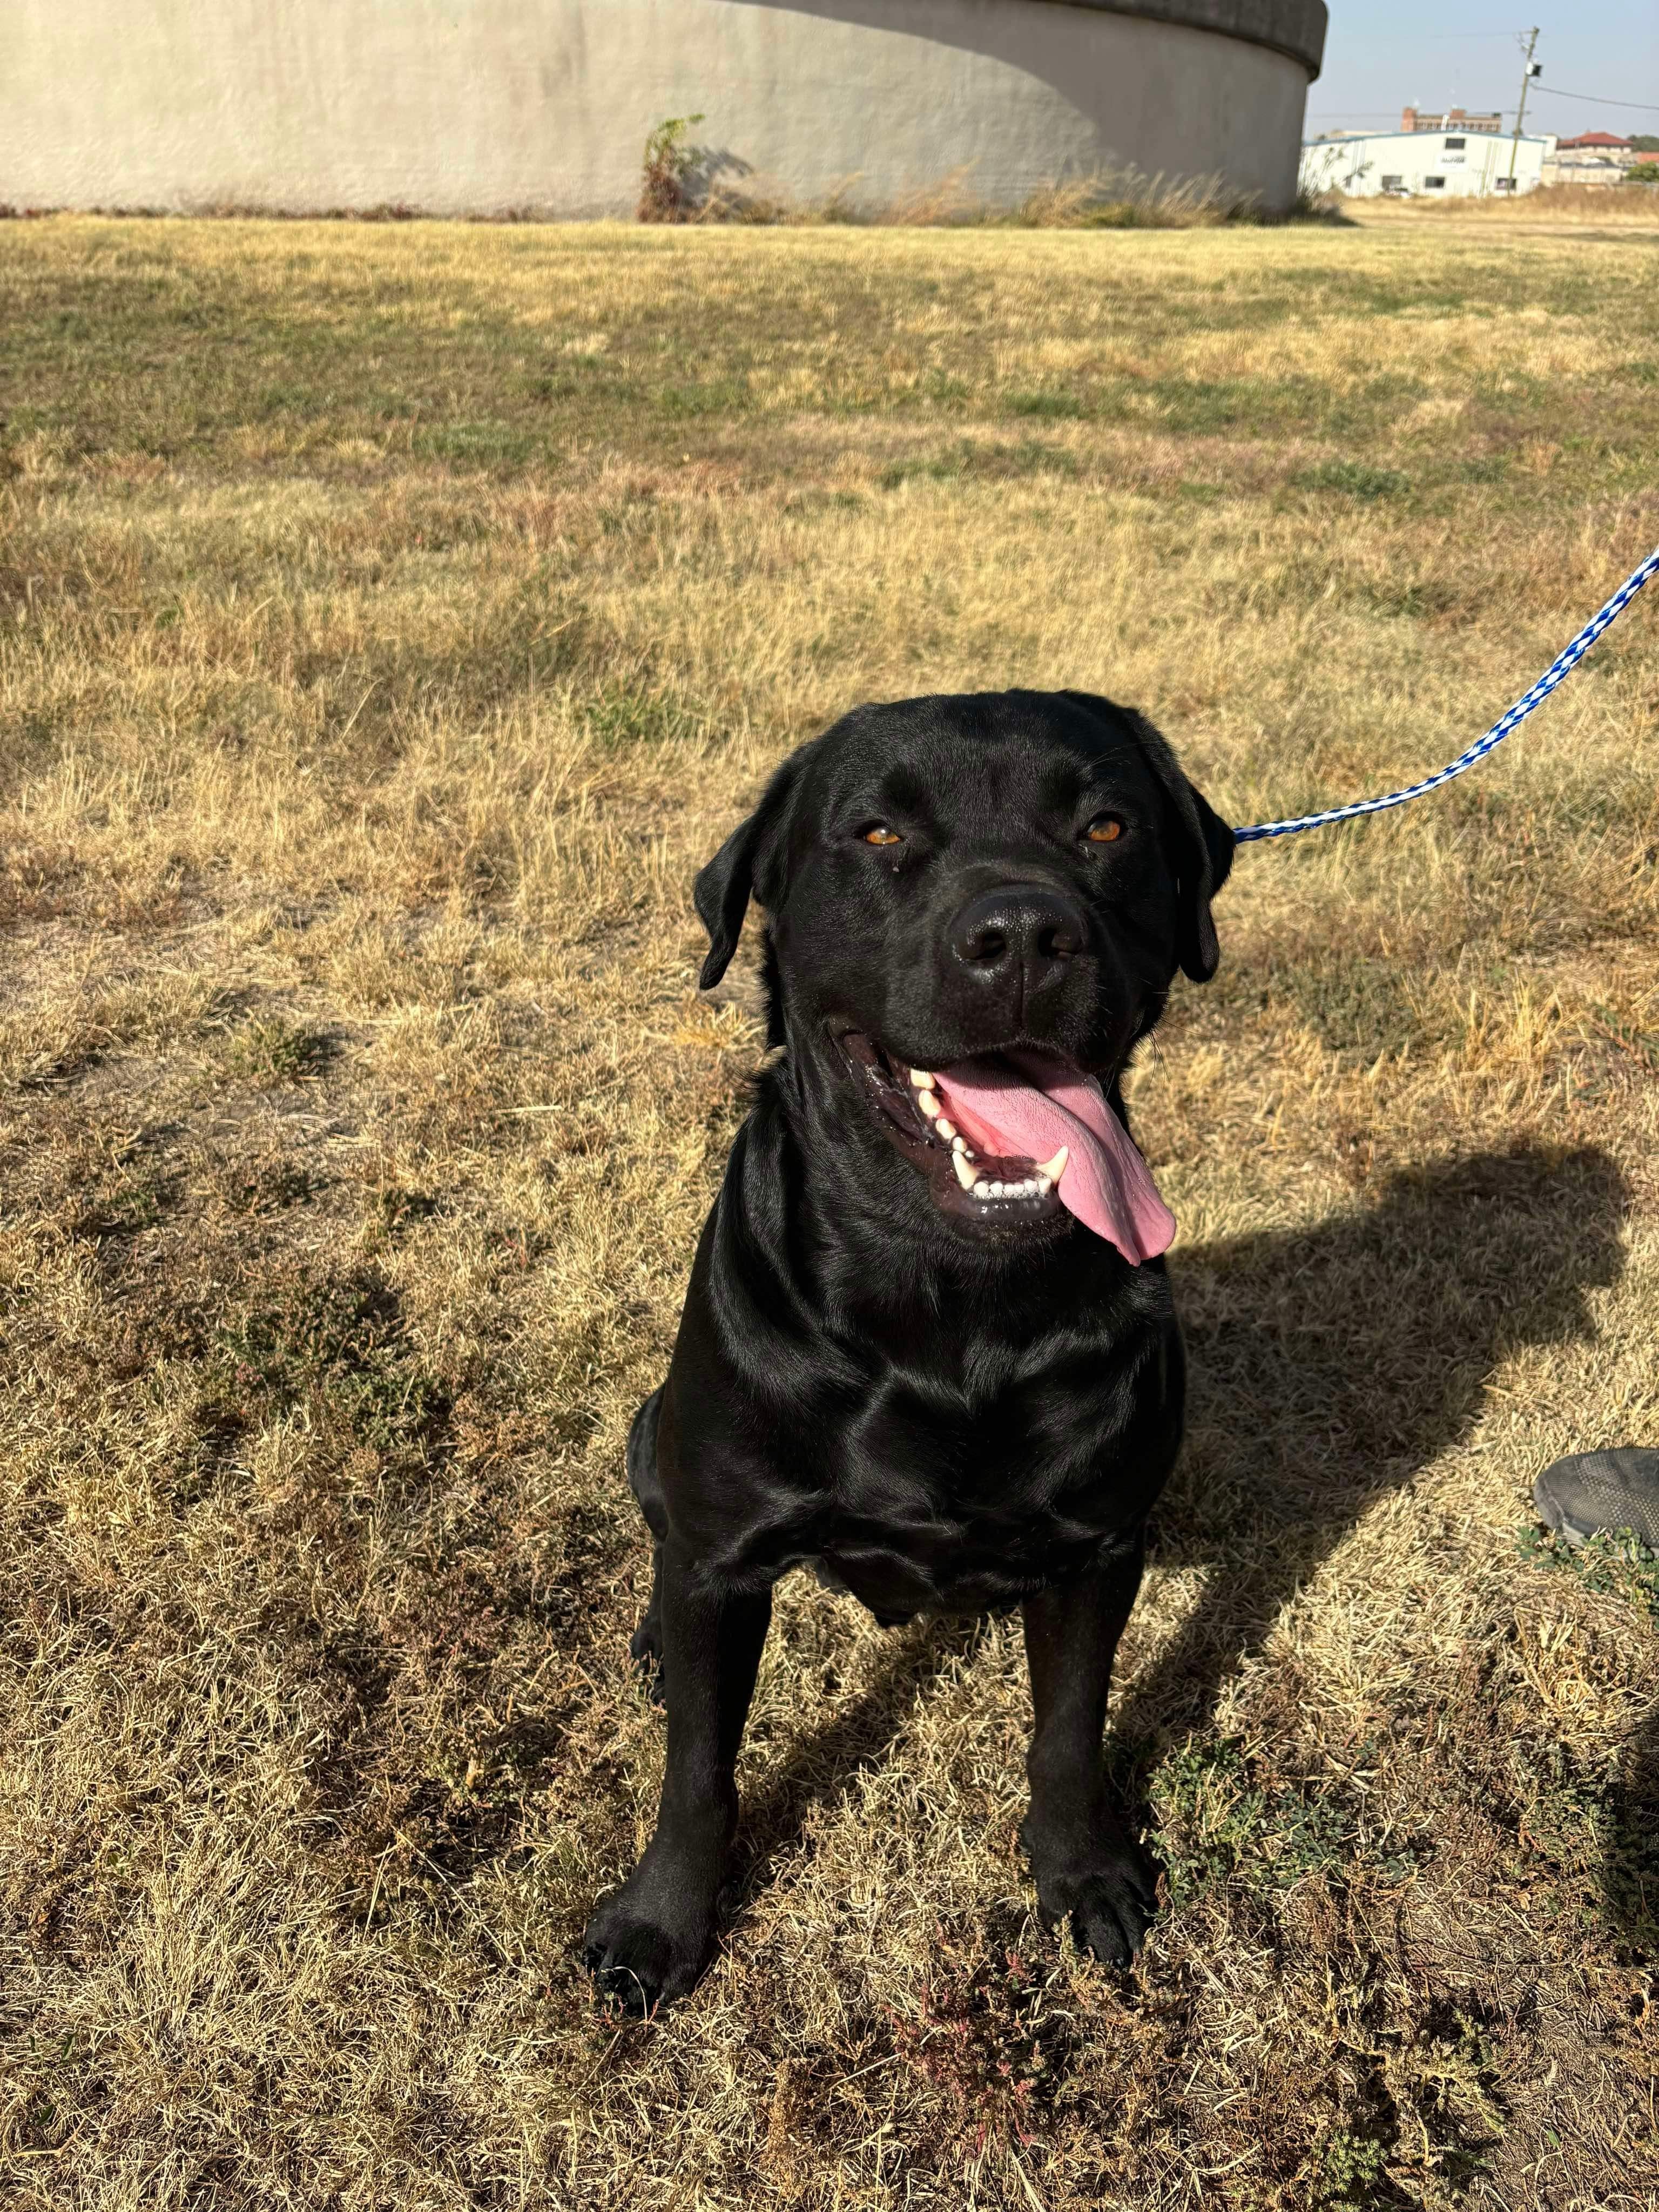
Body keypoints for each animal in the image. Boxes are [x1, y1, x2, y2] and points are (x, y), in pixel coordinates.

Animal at [584, 694, 1238, 2026]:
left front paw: (1083, 1870)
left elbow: (1070, 1730)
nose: (1025, 933)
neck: (949, 1300)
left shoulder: (1101, 1542)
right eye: (879, 832)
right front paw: (660, 1922)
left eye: (1106, 825)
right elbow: (698, 1771)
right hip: (648, 1435)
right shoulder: (723, 1554)